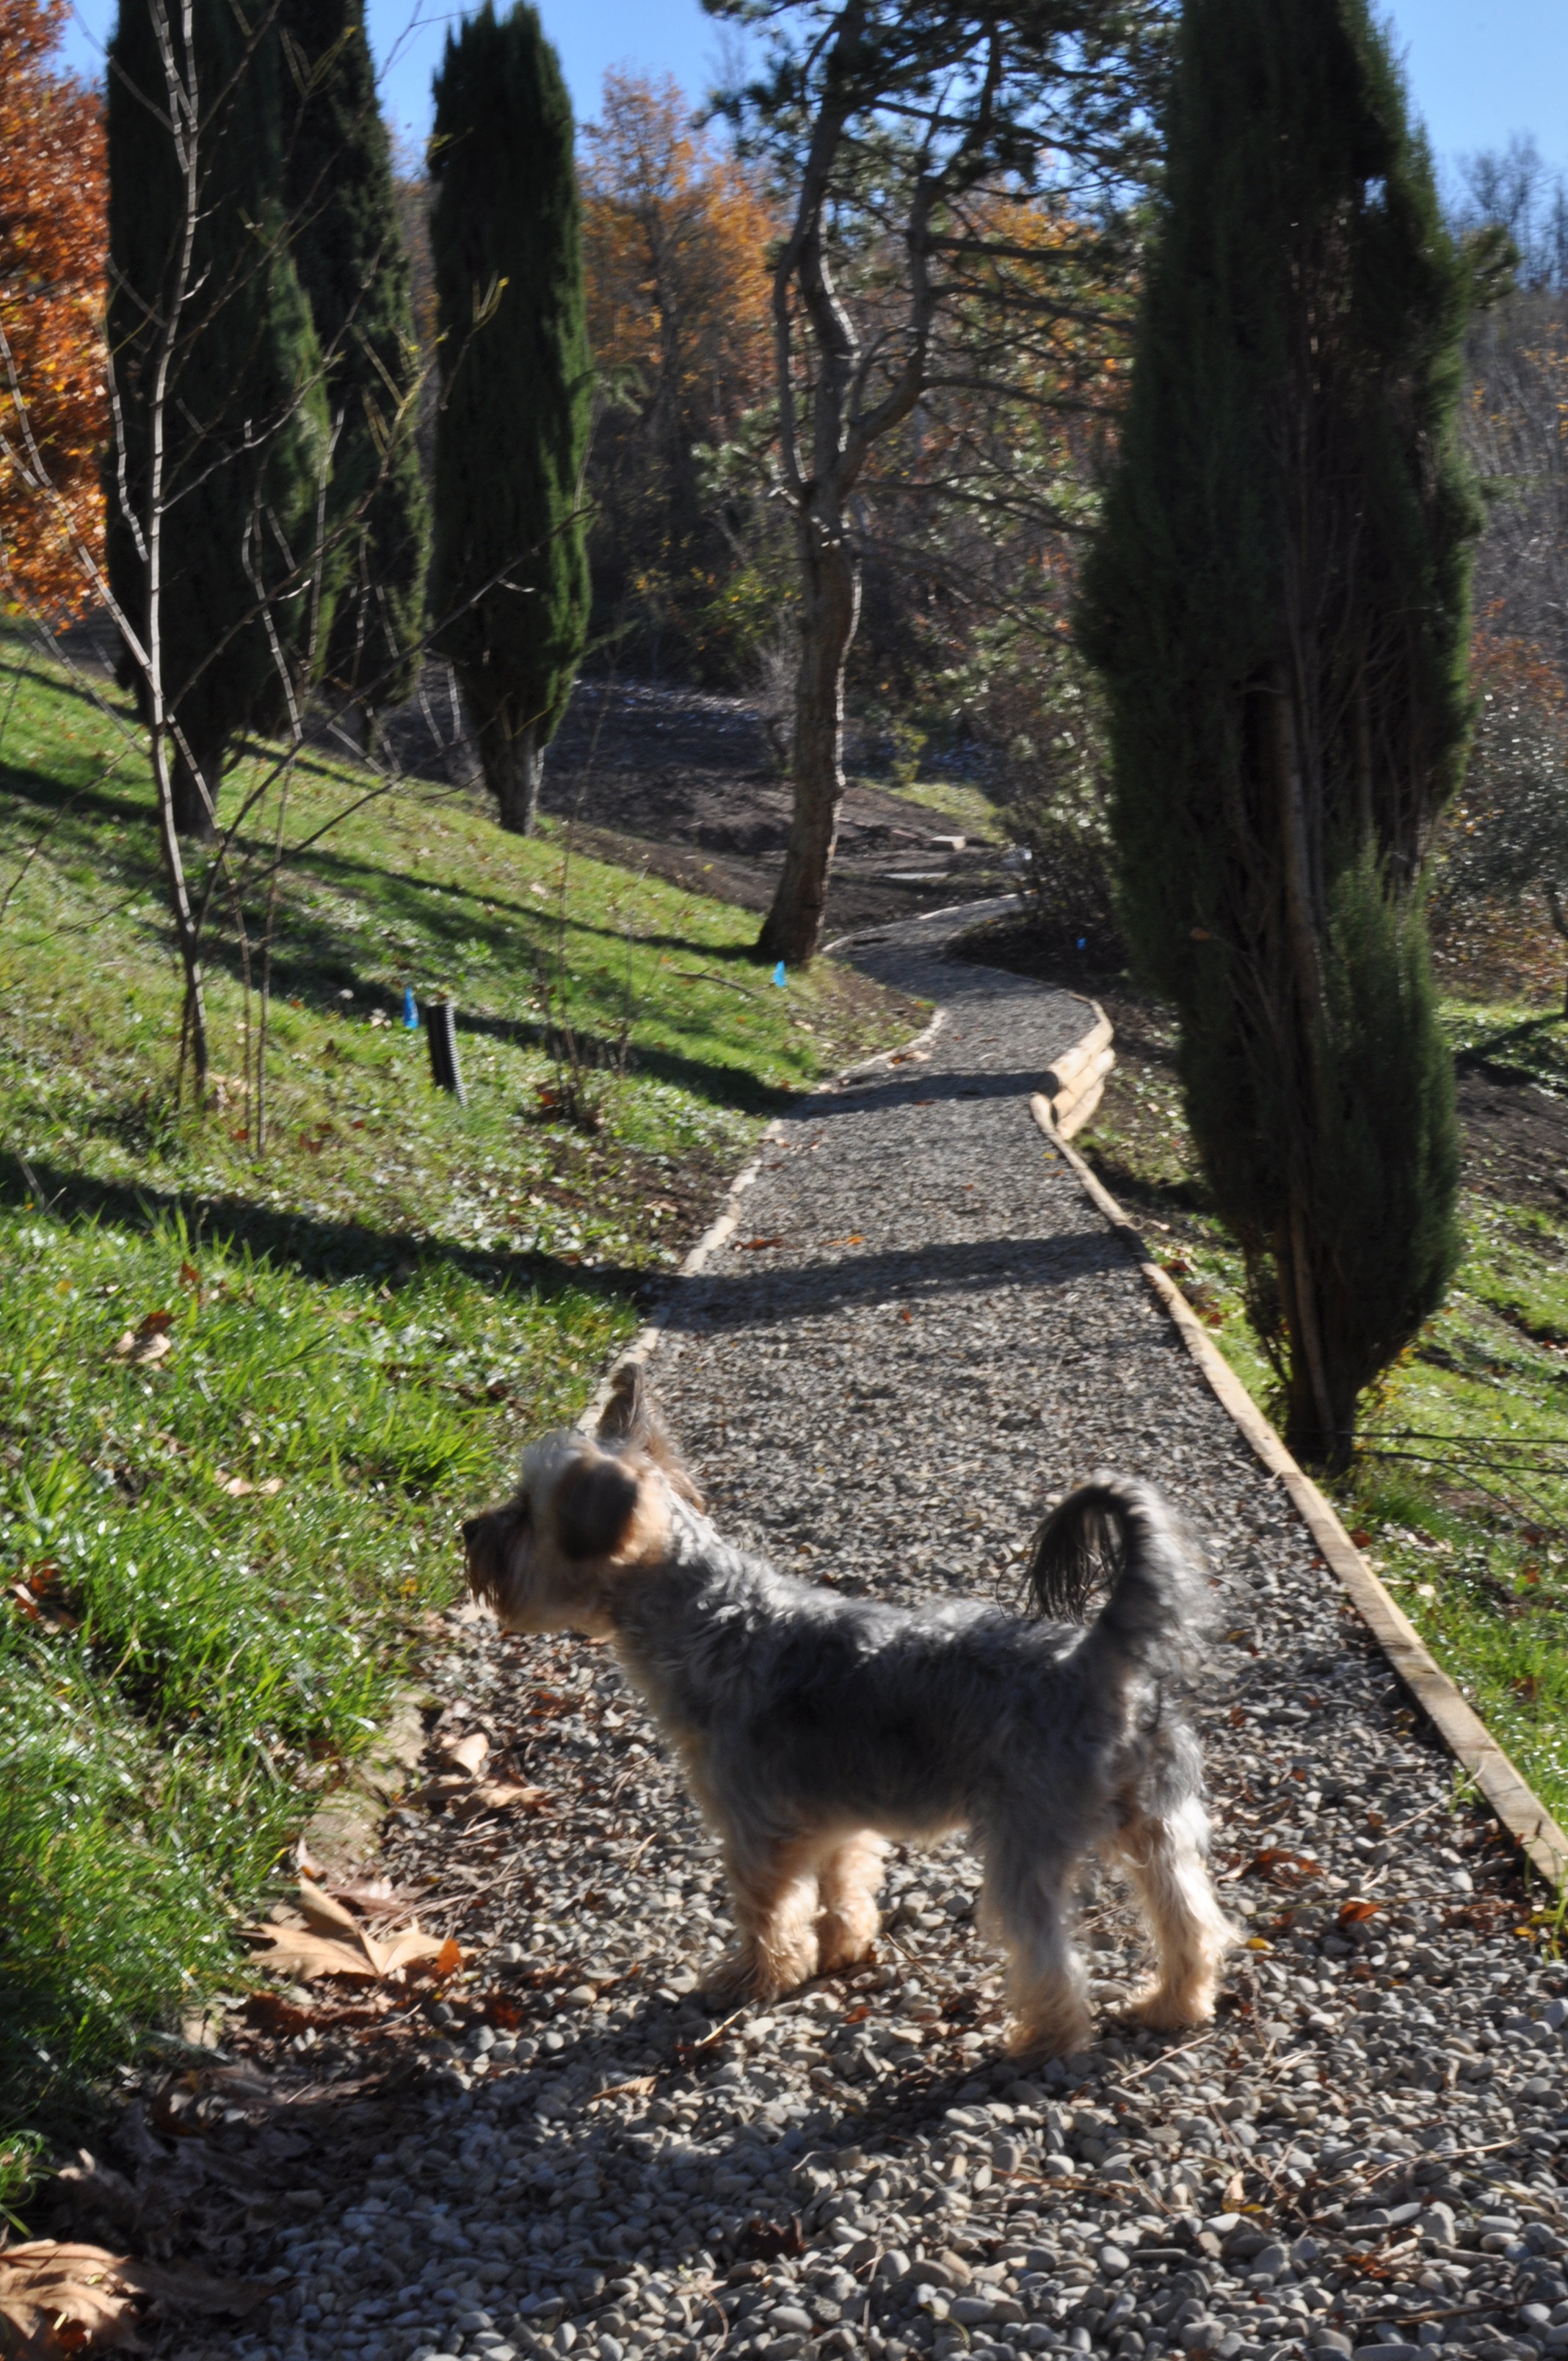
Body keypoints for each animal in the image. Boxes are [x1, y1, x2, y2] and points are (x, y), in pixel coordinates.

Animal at [460, 1379, 1227, 2059]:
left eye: (525, 1511)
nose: (468, 1527)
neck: (709, 1622)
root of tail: (1099, 1655)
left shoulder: (755, 1826)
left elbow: (765, 1910)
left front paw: (752, 1979)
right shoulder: (836, 1819)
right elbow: (843, 1888)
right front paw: (841, 1950)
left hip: (1026, 1840)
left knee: (1050, 1955)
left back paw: (1042, 2044)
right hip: (1156, 1826)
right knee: (1191, 1920)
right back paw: (1173, 2006)